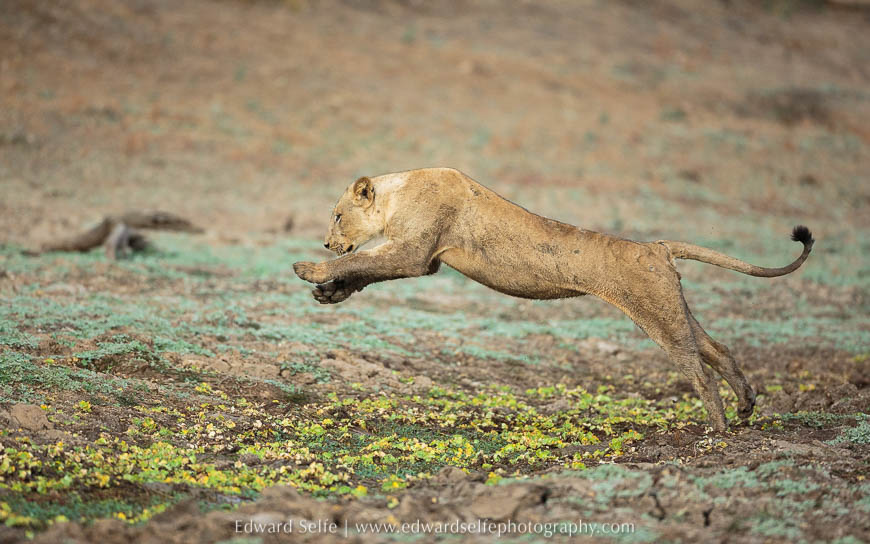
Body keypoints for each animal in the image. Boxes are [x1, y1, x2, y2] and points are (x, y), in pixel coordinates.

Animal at [293, 168, 814, 431]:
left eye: (337, 215)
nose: (326, 242)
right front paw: (327, 293)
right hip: (674, 307)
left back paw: (718, 430)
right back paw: (745, 409)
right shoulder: (421, 259)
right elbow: (363, 272)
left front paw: (312, 271)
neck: (397, 193)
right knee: (718, 350)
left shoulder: (417, 253)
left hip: (657, 316)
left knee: (698, 369)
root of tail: (657, 246)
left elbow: (360, 263)